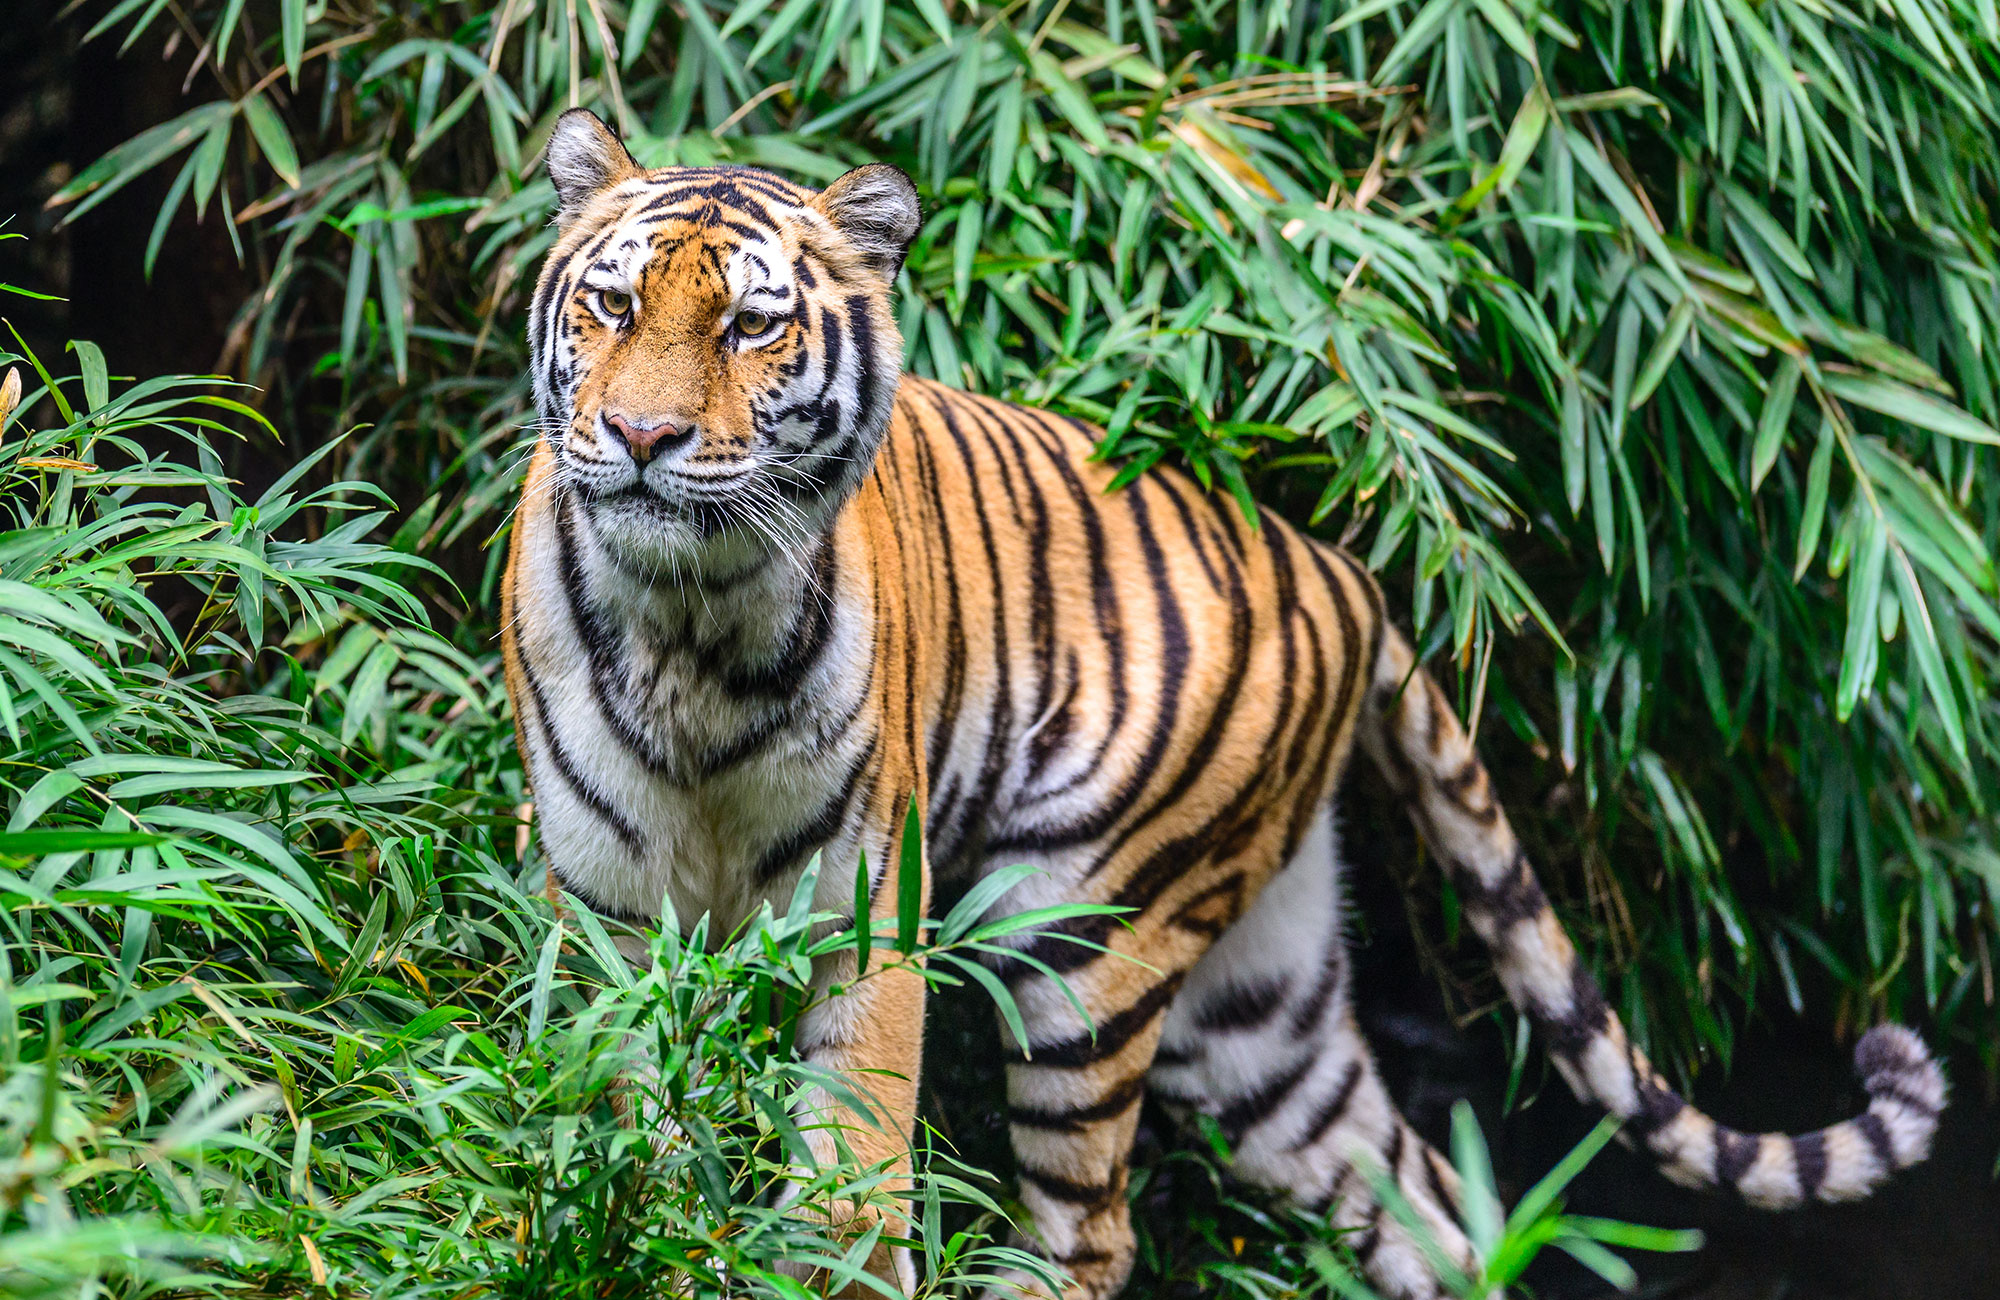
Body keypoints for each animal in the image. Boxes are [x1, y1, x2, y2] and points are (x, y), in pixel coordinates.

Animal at [499, 107, 1946, 1300]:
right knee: (1427, 1209)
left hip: (1083, 936)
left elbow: (844, 1203)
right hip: (1264, 1022)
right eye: (612, 305)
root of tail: (1344, 569)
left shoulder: (867, 923)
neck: (691, 623)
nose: (641, 440)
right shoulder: (606, 922)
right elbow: (634, 1146)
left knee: (1091, 1237)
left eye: (751, 326)